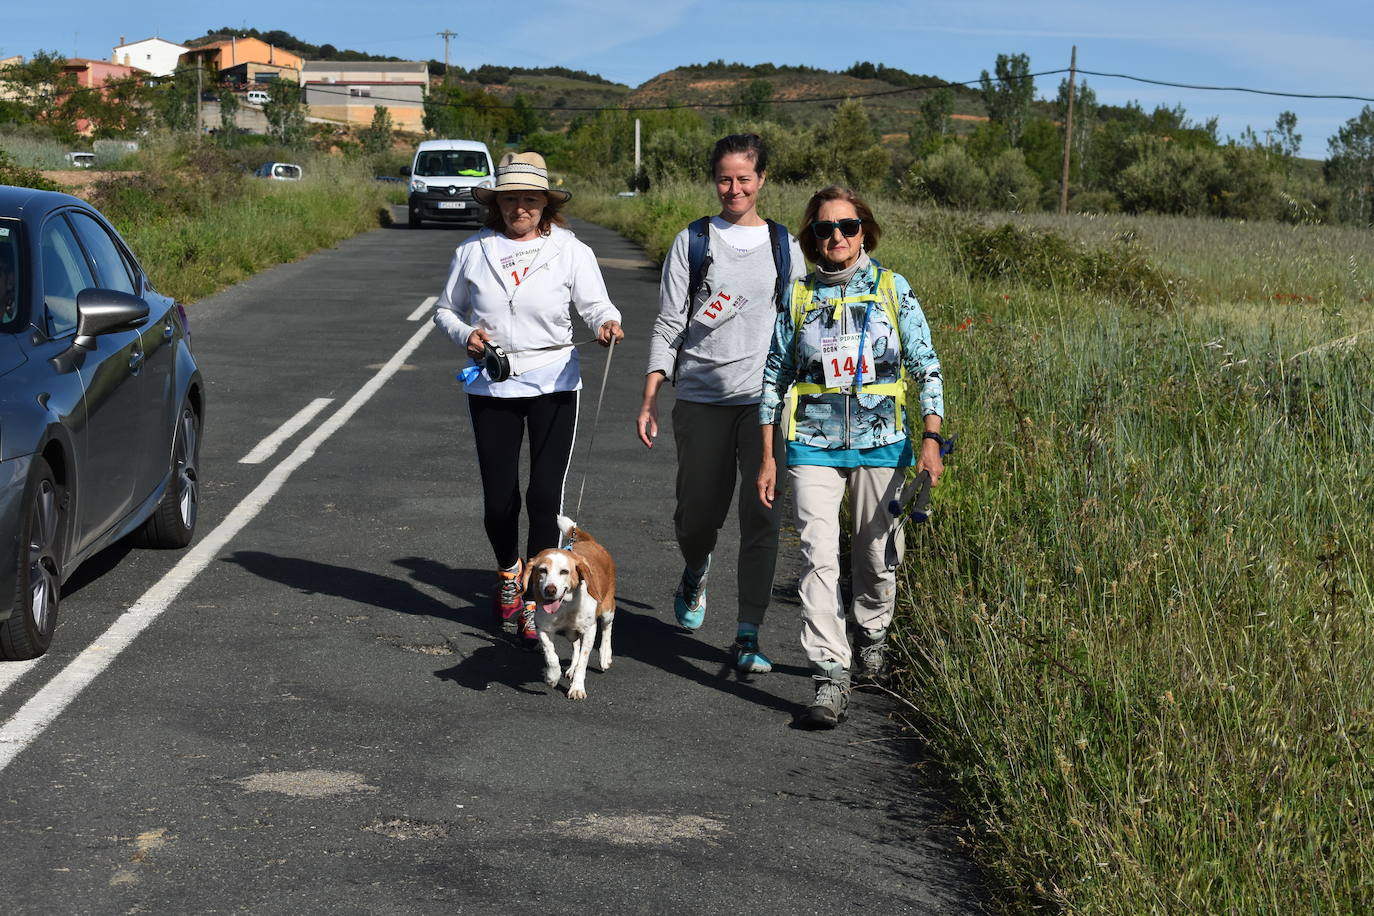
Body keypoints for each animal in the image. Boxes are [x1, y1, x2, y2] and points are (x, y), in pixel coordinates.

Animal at [519, 516, 618, 703]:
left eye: (564, 571)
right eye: (542, 570)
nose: (550, 590)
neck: (566, 606)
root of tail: (590, 542)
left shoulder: (590, 630)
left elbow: (583, 662)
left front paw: (577, 688)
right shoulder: (543, 628)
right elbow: (551, 655)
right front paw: (552, 676)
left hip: (607, 608)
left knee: (607, 629)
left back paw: (604, 656)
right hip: (571, 632)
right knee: (575, 644)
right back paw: (571, 668)